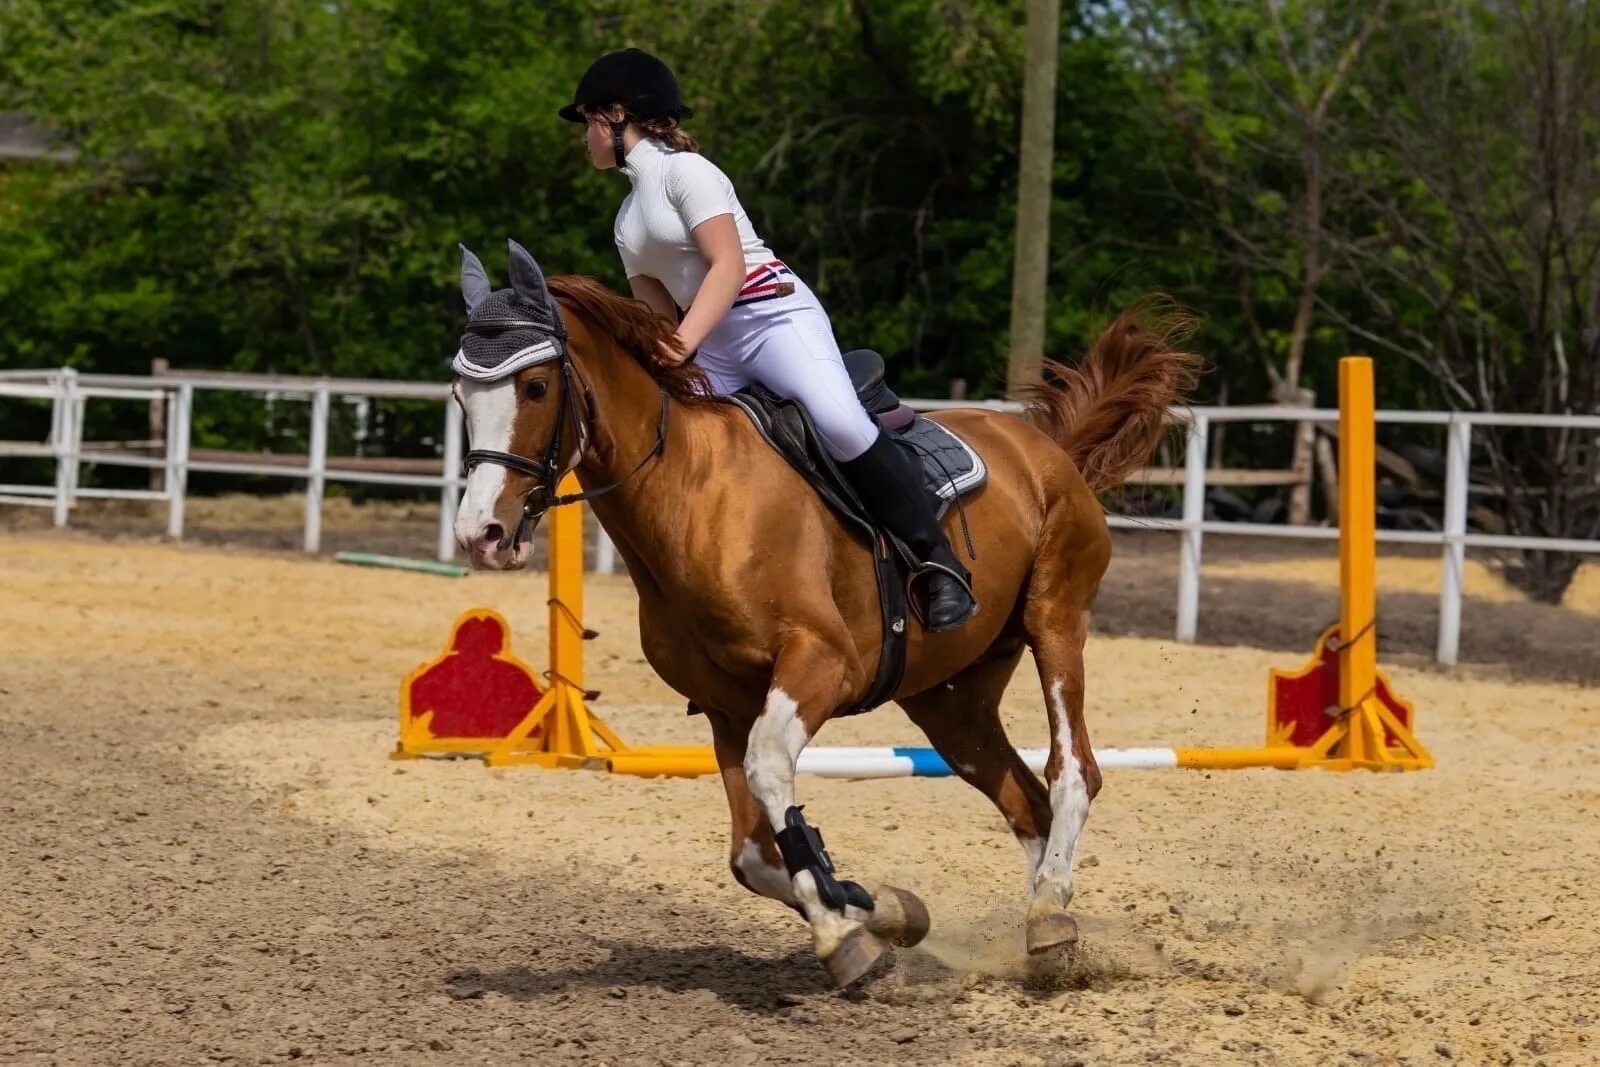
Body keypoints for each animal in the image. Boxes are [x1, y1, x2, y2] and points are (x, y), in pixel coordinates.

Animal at [451, 239, 1203, 985]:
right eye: (461, 394)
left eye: (535, 387)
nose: (479, 534)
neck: (691, 498)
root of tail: (1047, 448)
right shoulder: (726, 707)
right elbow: (754, 854)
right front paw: (877, 909)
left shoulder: (821, 664)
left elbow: (769, 774)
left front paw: (845, 932)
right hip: (950, 702)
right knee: (1023, 797)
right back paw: (1043, 925)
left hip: (1056, 620)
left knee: (1072, 770)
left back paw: (1049, 913)